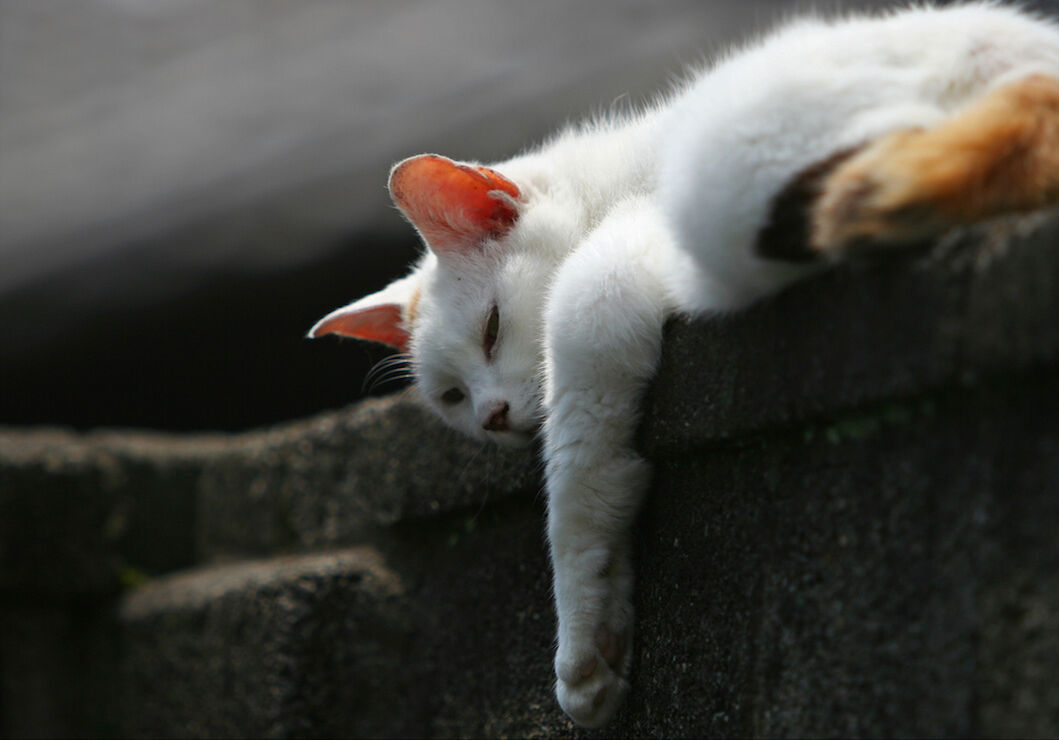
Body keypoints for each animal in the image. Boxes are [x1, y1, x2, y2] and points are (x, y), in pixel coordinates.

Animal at [309, 2, 1054, 728]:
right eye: (452, 398)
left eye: (492, 331)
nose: (491, 417)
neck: (610, 184)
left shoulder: (596, 290)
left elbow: (578, 491)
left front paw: (584, 650)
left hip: (732, 177)